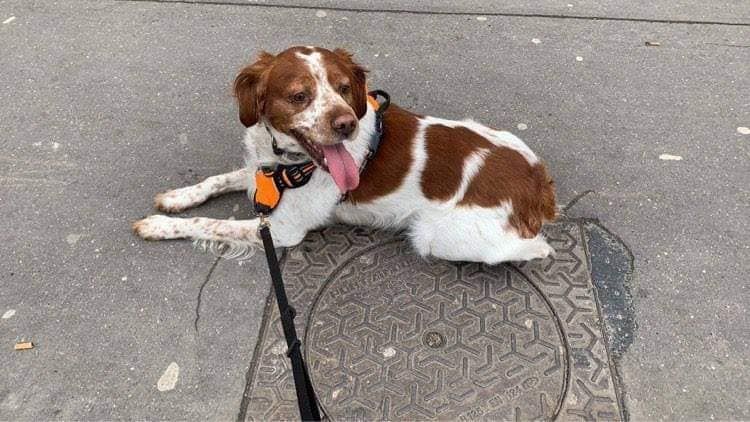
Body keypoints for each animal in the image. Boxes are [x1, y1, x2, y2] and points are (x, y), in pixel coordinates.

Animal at [134, 47, 560, 264]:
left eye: (343, 88)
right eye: (299, 95)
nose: (346, 125)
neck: (288, 162)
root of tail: (537, 183)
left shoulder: (284, 230)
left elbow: (210, 224)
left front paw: (158, 226)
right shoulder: (261, 170)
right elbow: (216, 181)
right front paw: (177, 197)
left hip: (436, 237)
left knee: (535, 248)